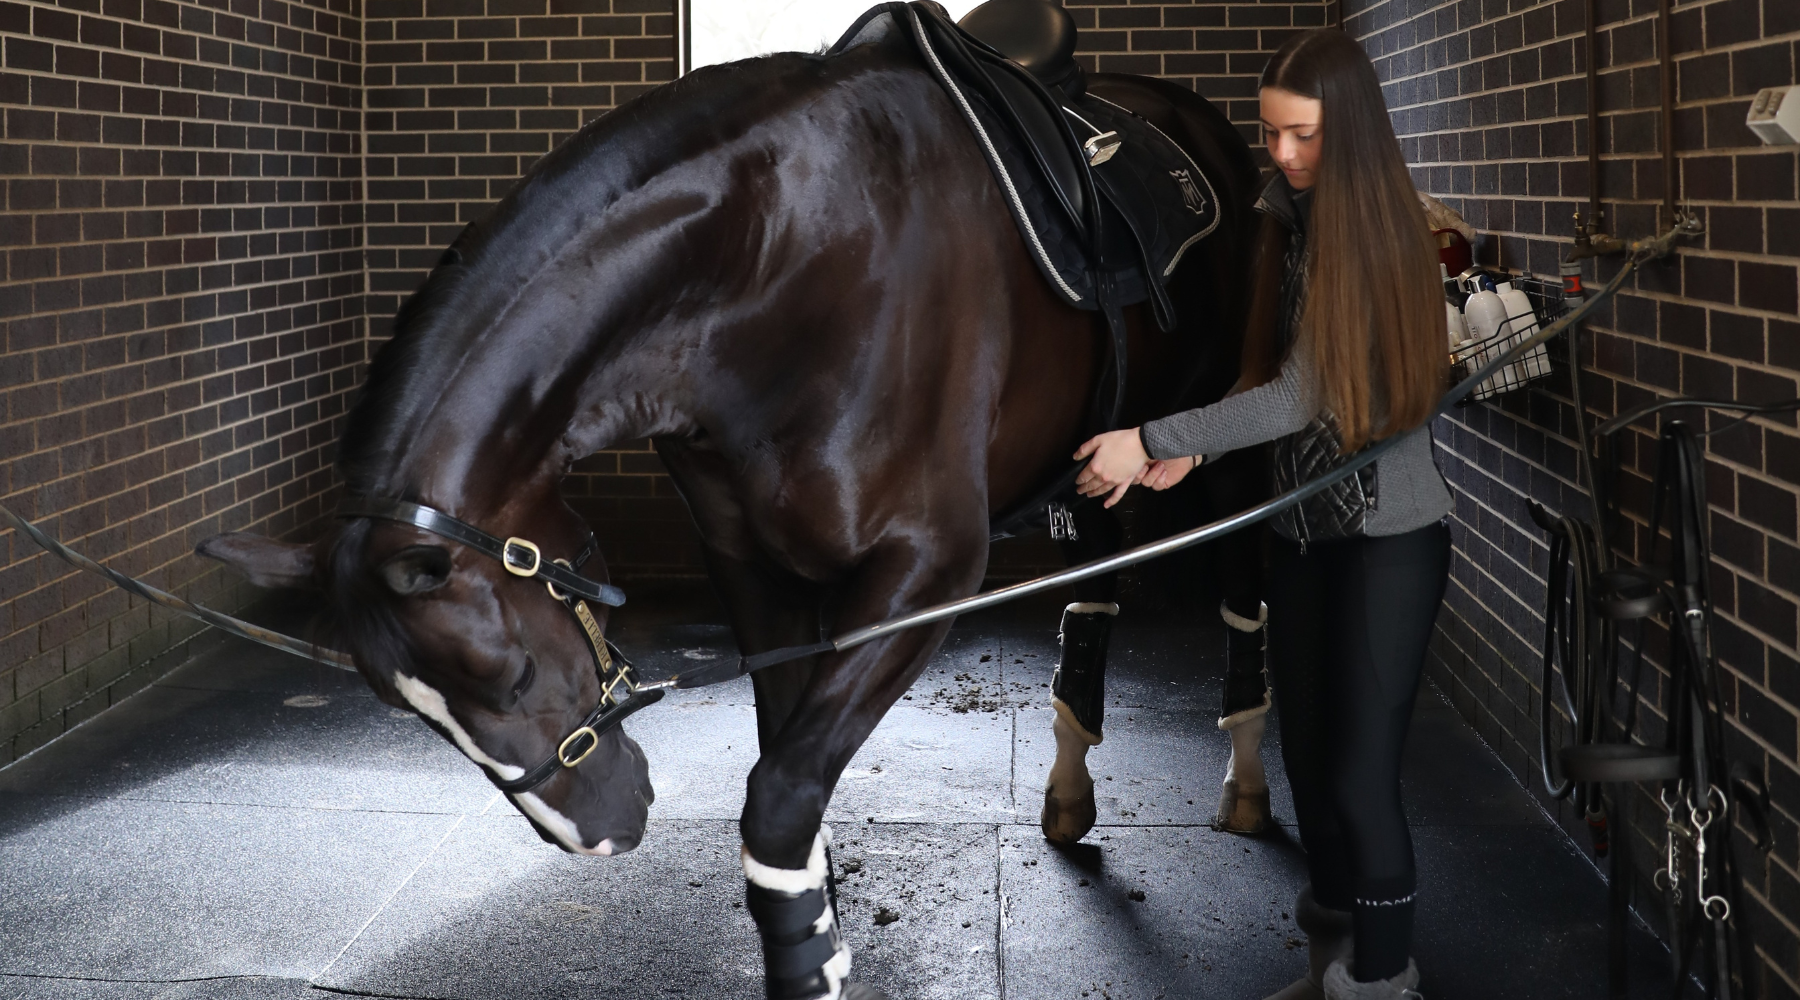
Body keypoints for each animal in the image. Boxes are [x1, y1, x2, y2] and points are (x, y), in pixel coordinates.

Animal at [197, 9, 1265, 998]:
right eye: (407, 711)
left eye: (509, 678)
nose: (597, 835)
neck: (783, 255)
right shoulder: (751, 562)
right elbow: (786, 769)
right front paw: (819, 934)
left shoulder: (931, 567)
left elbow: (782, 790)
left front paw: (810, 963)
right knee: (1095, 589)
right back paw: (1071, 784)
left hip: (1229, 433)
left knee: (1243, 586)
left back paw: (1248, 775)